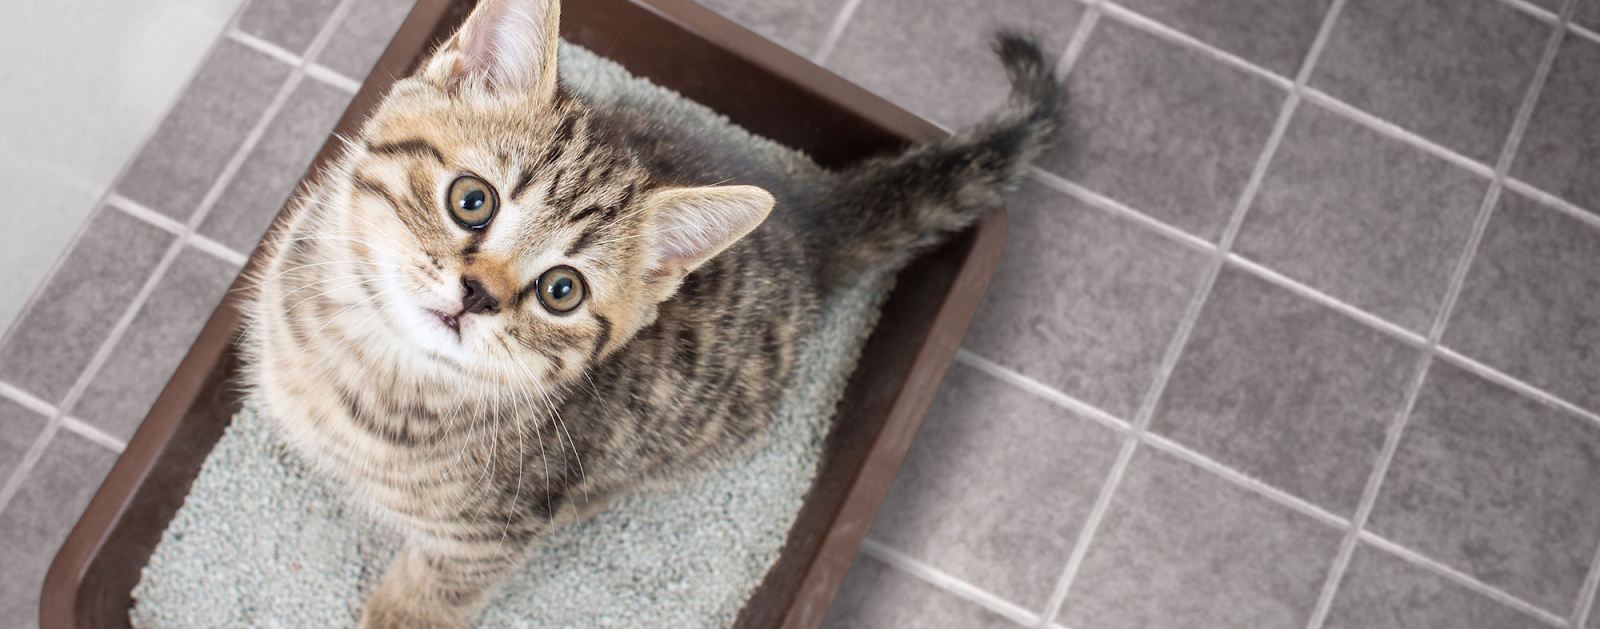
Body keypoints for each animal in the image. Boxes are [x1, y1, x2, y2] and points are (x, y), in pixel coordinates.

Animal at [243, 0, 1056, 620]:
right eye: (472, 199)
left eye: (562, 290)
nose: (479, 295)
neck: (364, 359)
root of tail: (807, 220)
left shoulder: (490, 533)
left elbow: (424, 601)